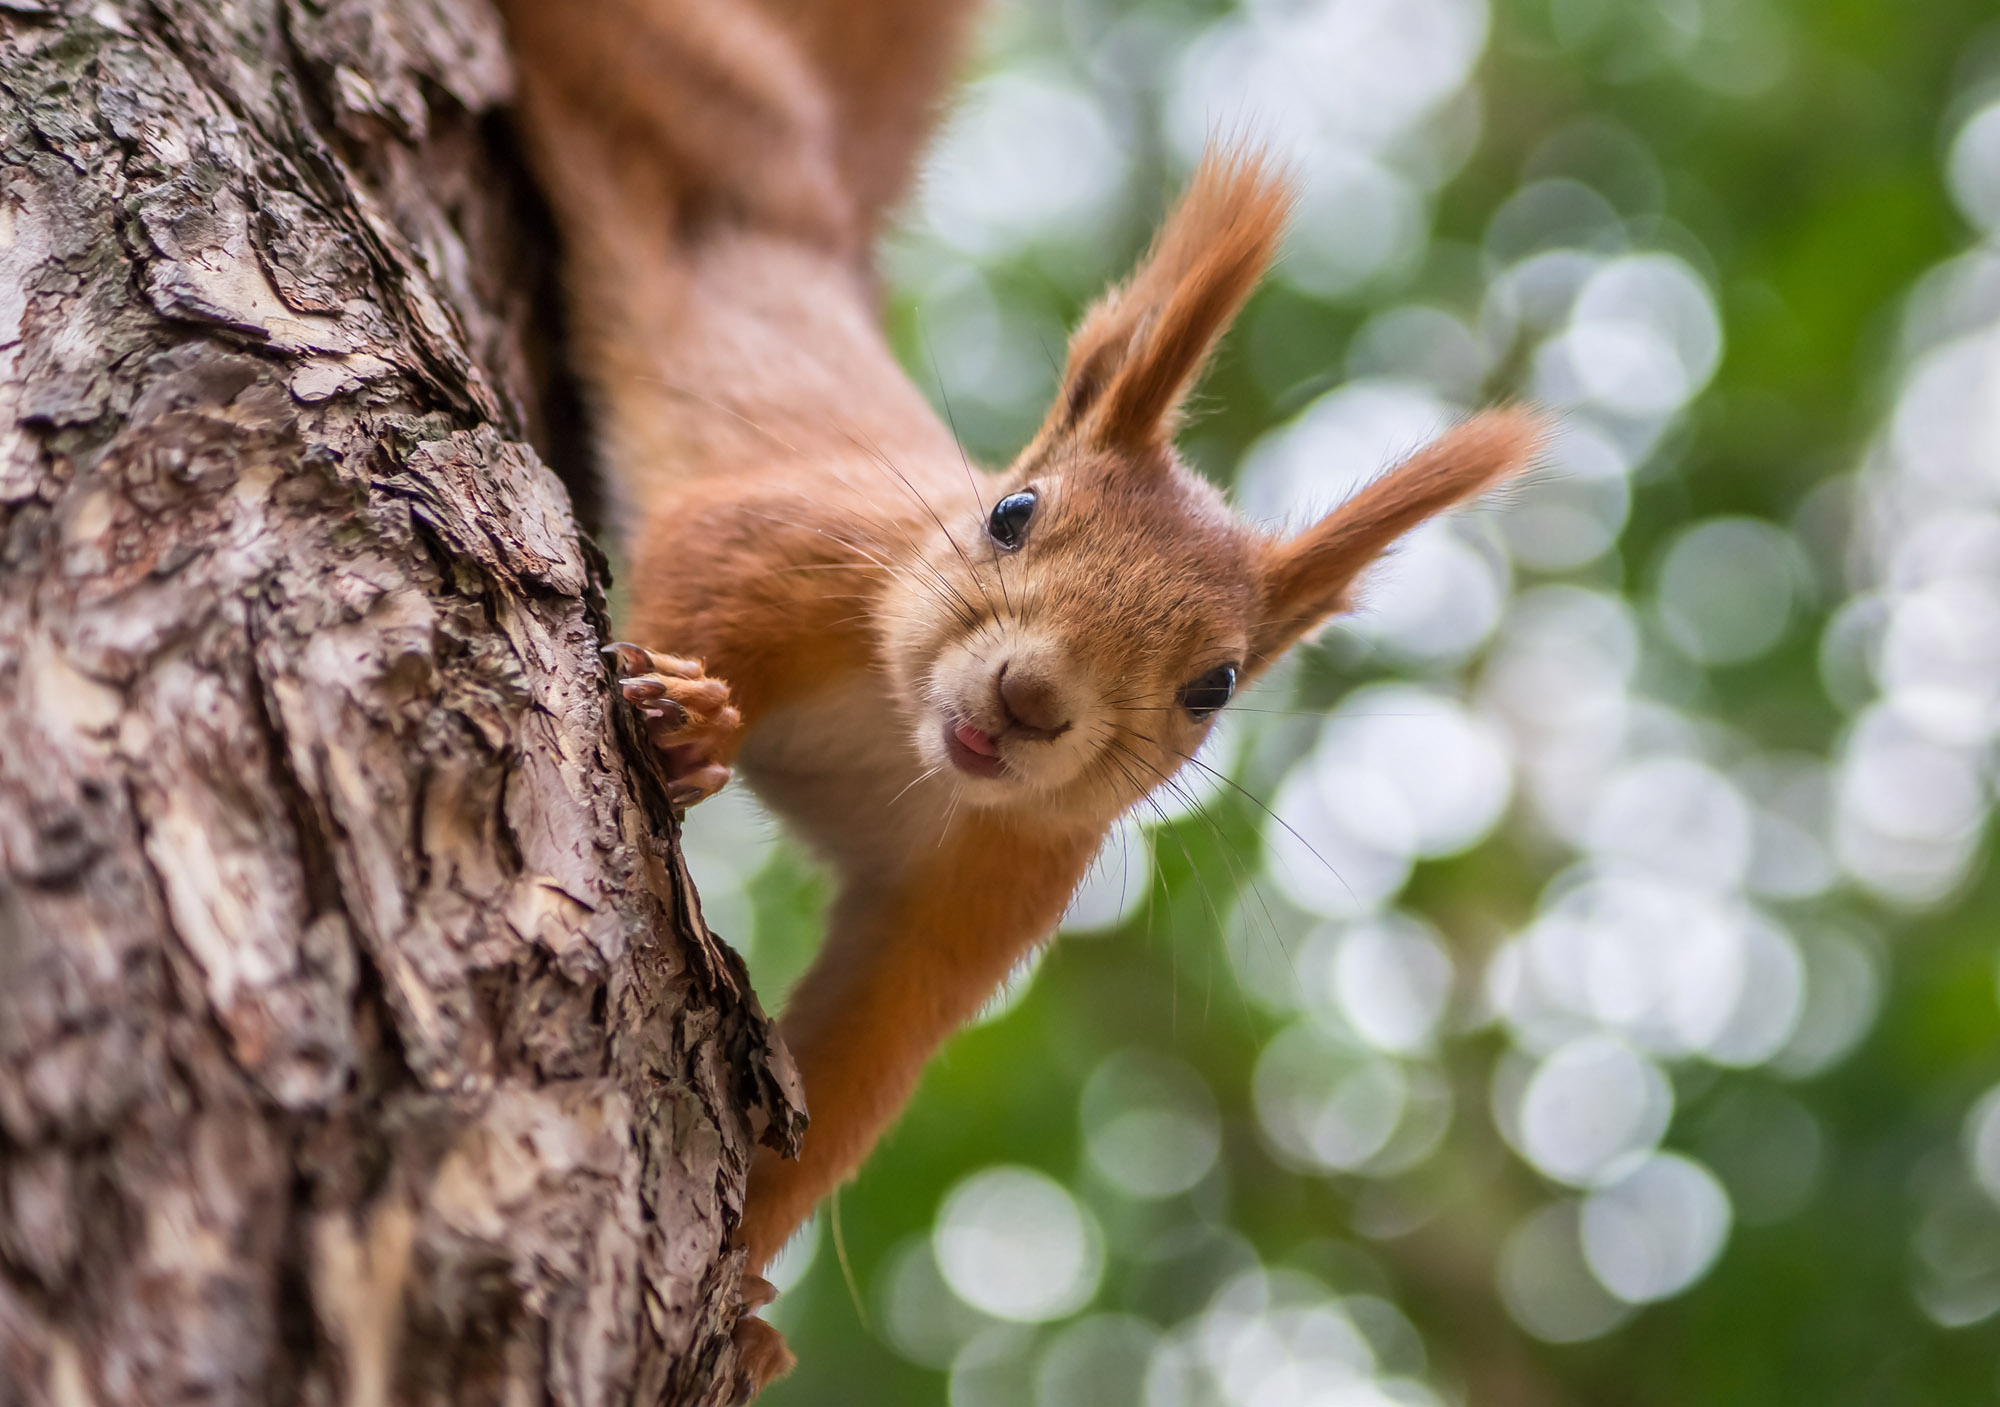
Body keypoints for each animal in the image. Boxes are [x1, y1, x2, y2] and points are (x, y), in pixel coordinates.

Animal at [492, 0, 1536, 1391]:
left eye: (1213, 685)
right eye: (1011, 513)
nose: (1033, 697)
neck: (900, 738)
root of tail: (822, 203)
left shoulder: (991, 887)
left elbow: (865, 1051)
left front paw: (745, 1288)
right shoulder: (774, 545)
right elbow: (685, 601)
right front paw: (686, 721)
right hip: (686, 100)